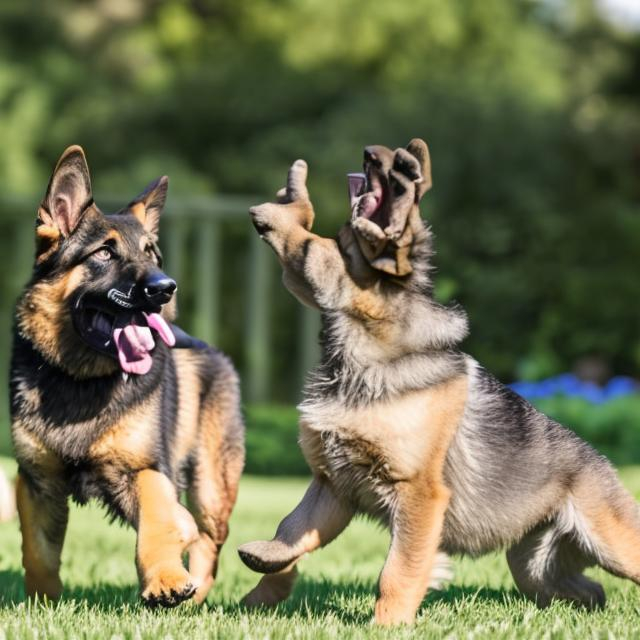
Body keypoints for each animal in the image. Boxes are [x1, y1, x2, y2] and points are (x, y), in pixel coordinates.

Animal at [10, 148, 245, 608]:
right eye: (104, 253)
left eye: (152, 254)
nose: (166, 287)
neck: (82, 379)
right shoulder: (36, 484)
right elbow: (38, 553)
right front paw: (41, 604)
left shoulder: (146, 471)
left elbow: (160, 524)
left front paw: (165, 578)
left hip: (212, 489)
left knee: (207, 542)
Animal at [239, 140, 640, 624]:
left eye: (399, 174)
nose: (370, 152)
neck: (370, 351)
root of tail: (603, 465)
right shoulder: (333, 487)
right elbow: (292, 529)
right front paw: (261, 583)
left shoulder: (418, 494)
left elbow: (398, 569)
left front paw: (387, 625)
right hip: (534, 566)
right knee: (588, 590)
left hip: (610, 541)